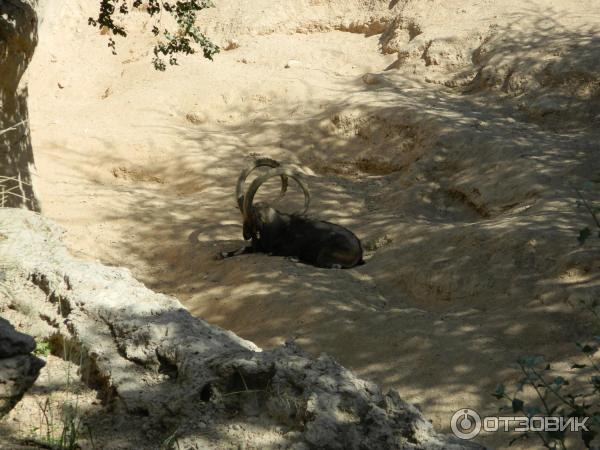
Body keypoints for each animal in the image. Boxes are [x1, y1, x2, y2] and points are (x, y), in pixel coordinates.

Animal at [218, 163, 364, 268]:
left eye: (253, 216)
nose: (246, 234)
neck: (275, 227)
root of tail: (359, 250)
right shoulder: (257, 246)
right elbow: (242, 249)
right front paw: (221, 254)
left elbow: (273, 252)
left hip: (325, 253)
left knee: (327, 264)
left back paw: (294, 258)